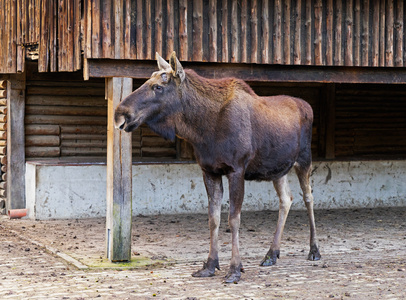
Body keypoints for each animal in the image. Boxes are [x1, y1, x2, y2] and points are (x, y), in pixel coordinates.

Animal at [114, 52, 320, 284]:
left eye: (158, 86)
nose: (120, 114)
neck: (201, 128)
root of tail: (308, 106)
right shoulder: (209, 170)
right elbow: (214, 218)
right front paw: (210, 265)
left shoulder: (236, 169)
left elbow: (233, 219)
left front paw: (235, 269)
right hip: (277, 168)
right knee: (286, 199)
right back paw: (271, 254)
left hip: (304, 159)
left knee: (308, 197)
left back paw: (314, 250)